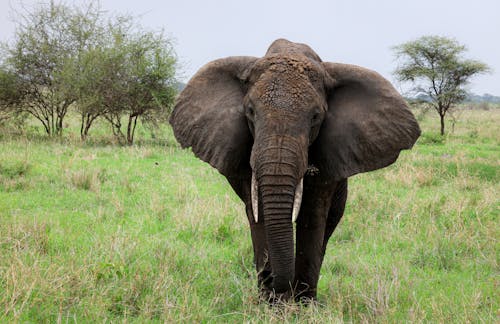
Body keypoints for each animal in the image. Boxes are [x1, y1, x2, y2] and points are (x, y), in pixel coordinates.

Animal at [170, 39, 420, 302]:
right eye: (250, 112)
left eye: (316, 117)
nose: (274, 283)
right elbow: (258, 215)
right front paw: (271, 302)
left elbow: (312, 216)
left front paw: (302, 303)